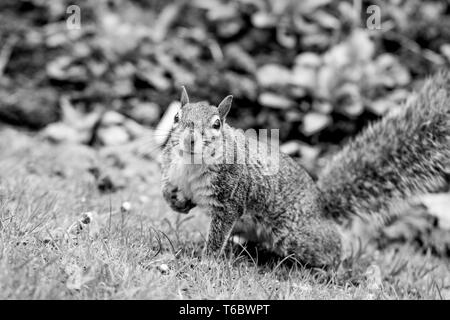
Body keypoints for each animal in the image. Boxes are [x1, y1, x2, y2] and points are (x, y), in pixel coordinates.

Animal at [161, 70, 450, 268]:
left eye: (217, 124)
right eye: (176, 117)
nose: (189, 139)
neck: (191, 164)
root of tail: (321, 204)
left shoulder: (231, 198)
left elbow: (219, 232)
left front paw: (207, 260)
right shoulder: (176, 174)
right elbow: (170, 192)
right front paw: (176, 201)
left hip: (295, 235)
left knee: (334, 248)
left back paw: (330, 268)